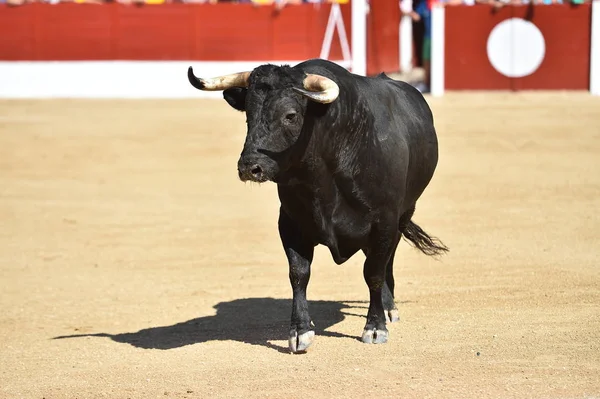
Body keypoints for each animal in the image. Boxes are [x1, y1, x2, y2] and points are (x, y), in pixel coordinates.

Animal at [190, 58, 448, 354]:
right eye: (248, 116)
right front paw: (300, 331)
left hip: (405, 213)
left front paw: (375, 327)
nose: (249, 167)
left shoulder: (384, 221)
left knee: (387, 258)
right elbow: (299, 273)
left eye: (290, 115)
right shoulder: (290, 223)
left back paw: (389, 307)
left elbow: (373, 272)